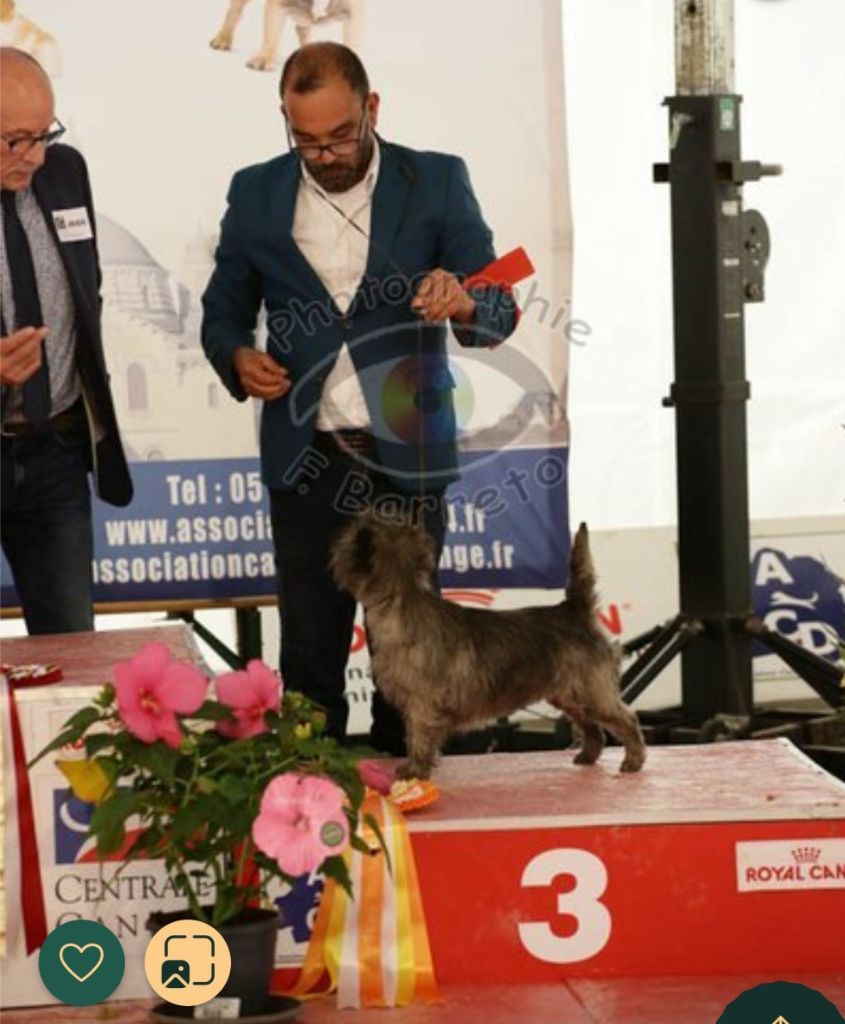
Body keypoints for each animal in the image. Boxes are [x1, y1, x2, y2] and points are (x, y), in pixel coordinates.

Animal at [331, 516, 647, 778]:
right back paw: (587, 756)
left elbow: (418, 737)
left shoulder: (422, 704)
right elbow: (415, 736)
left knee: (626, 718)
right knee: (591, 726)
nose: (340, 533)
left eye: (347, 535)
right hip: (570, 694)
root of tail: (575, 610)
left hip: (592, 691)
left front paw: (414, 771)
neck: (400, 604)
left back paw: (633, 761)